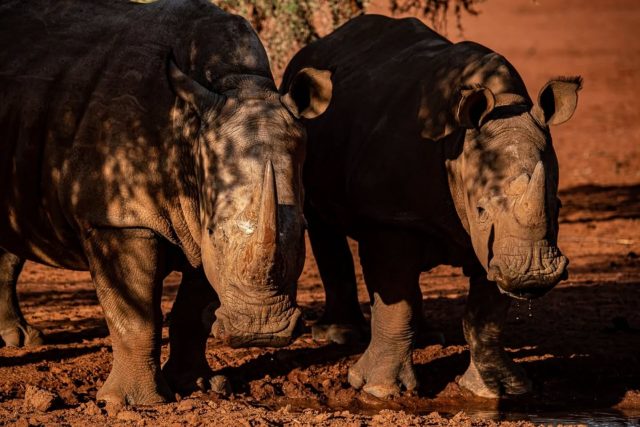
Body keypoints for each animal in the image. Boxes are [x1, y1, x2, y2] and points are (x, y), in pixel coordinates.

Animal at [0, 0, 331, 405]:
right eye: (213, 230)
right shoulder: (120, 218)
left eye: (303, 230)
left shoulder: (199, 215)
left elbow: (192, 312)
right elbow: (135, 315)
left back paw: (20, 339)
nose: (262, 333)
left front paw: (199, 384)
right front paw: (131, 402)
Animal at [281, 15, 581, 399]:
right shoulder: (392, 217)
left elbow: (486, 314)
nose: (532, 275)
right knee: (323, 223)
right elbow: (397, 300)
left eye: (556, 206)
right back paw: (338, 336)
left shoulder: (492, 244)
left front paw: (498, 389)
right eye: (481, 209)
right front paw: (378, 390)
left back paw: (428, 337)